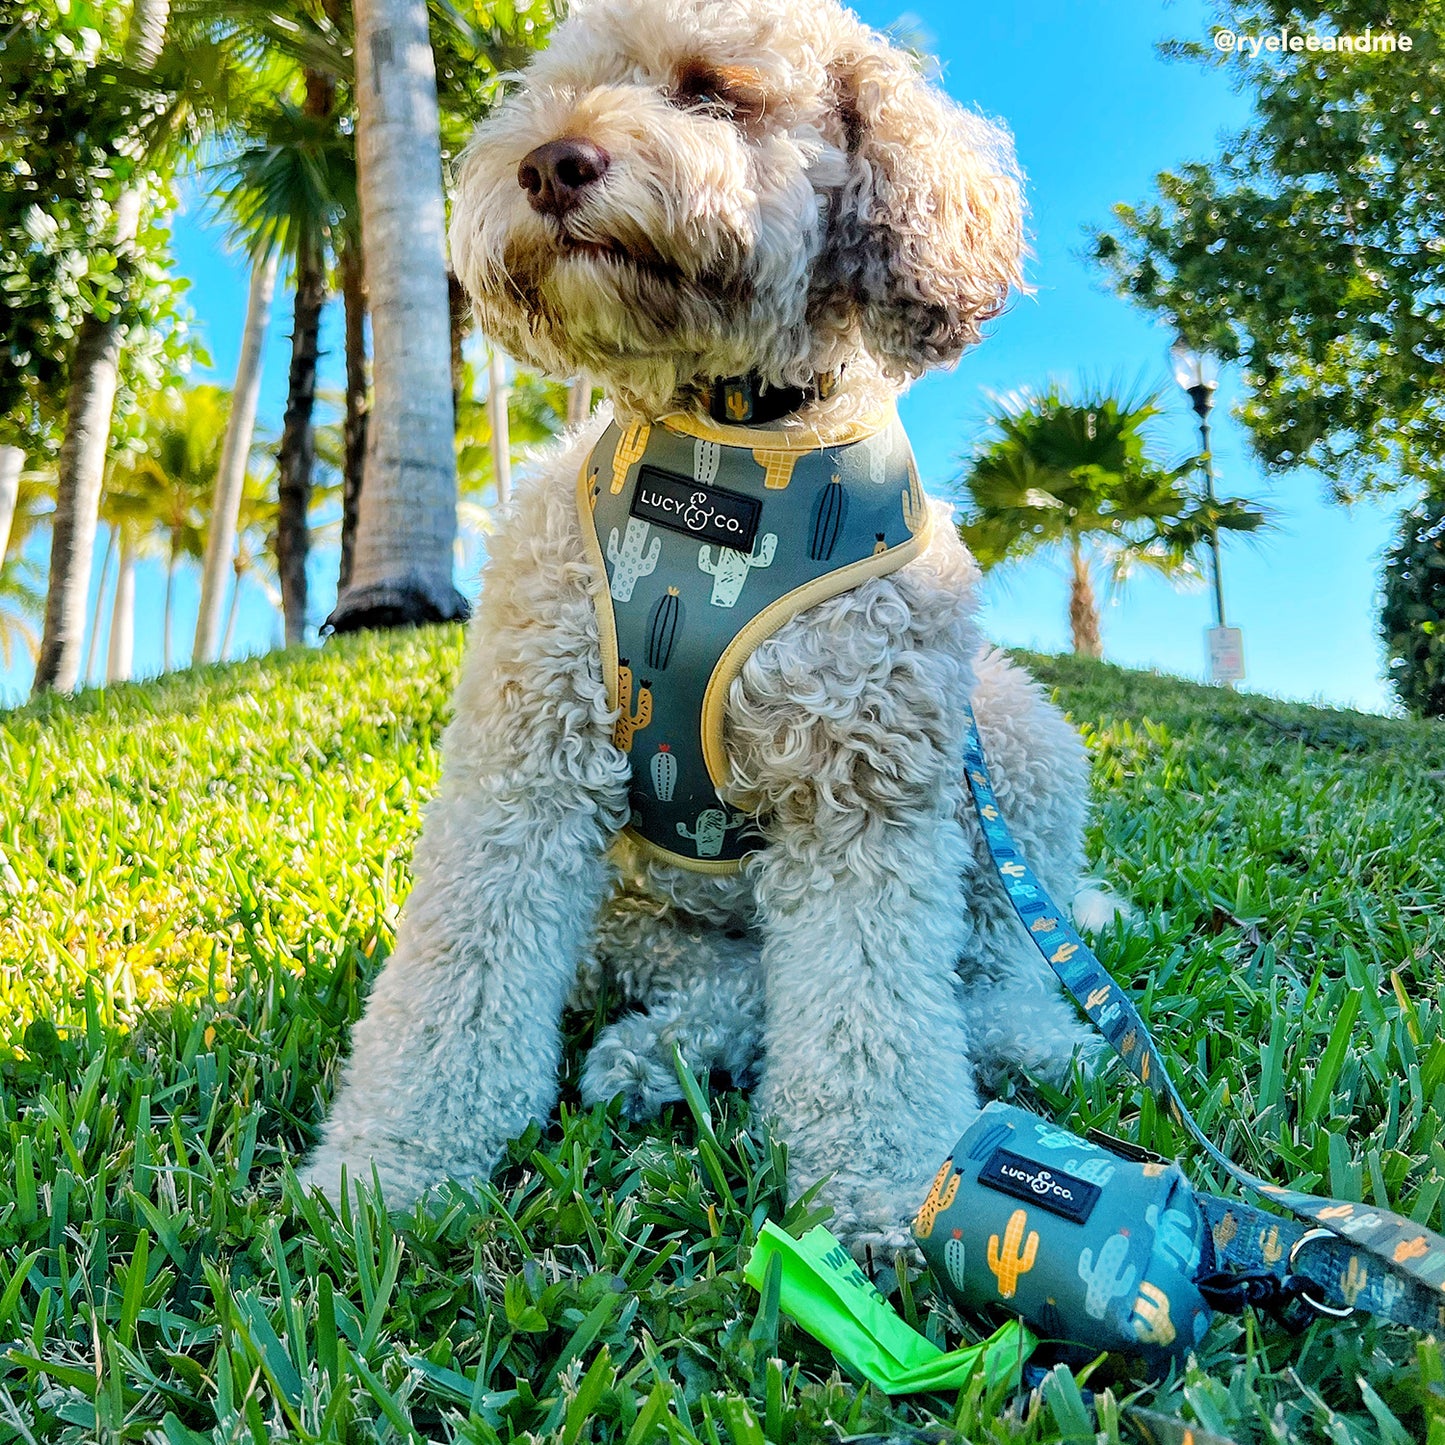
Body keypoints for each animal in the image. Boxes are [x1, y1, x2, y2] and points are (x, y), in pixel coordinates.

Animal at [304, 0, 1109, 1248]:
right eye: (548, 89)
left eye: (711, 90)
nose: (550, 165)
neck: (729, 448)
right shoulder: (523, 765)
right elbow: (456, 982)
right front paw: (389, 1168)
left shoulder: (863, 790)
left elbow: (872, 1014)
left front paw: (884, 1187)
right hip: (629, 907)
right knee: (727, 976)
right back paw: (656, 1050)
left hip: (1009, 731)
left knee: (990, 965)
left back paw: (1040, 1043)